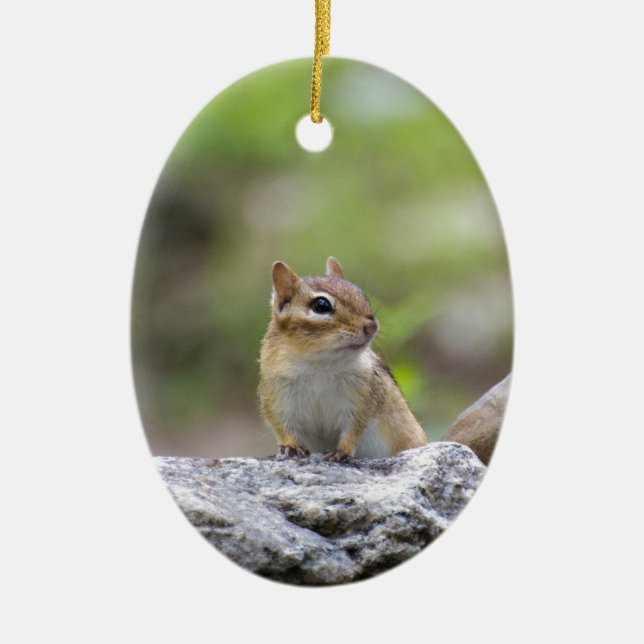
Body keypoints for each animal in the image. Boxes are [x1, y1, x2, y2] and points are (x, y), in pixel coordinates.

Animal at [258, 257, 428, 462]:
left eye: (362, 295)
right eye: (321, 305)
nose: (371, 325)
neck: (320, 365)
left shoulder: (363, 398)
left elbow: (354, 428)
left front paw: (342, 451)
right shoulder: (275, 397)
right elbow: (281, 425)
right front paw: (291, 446)